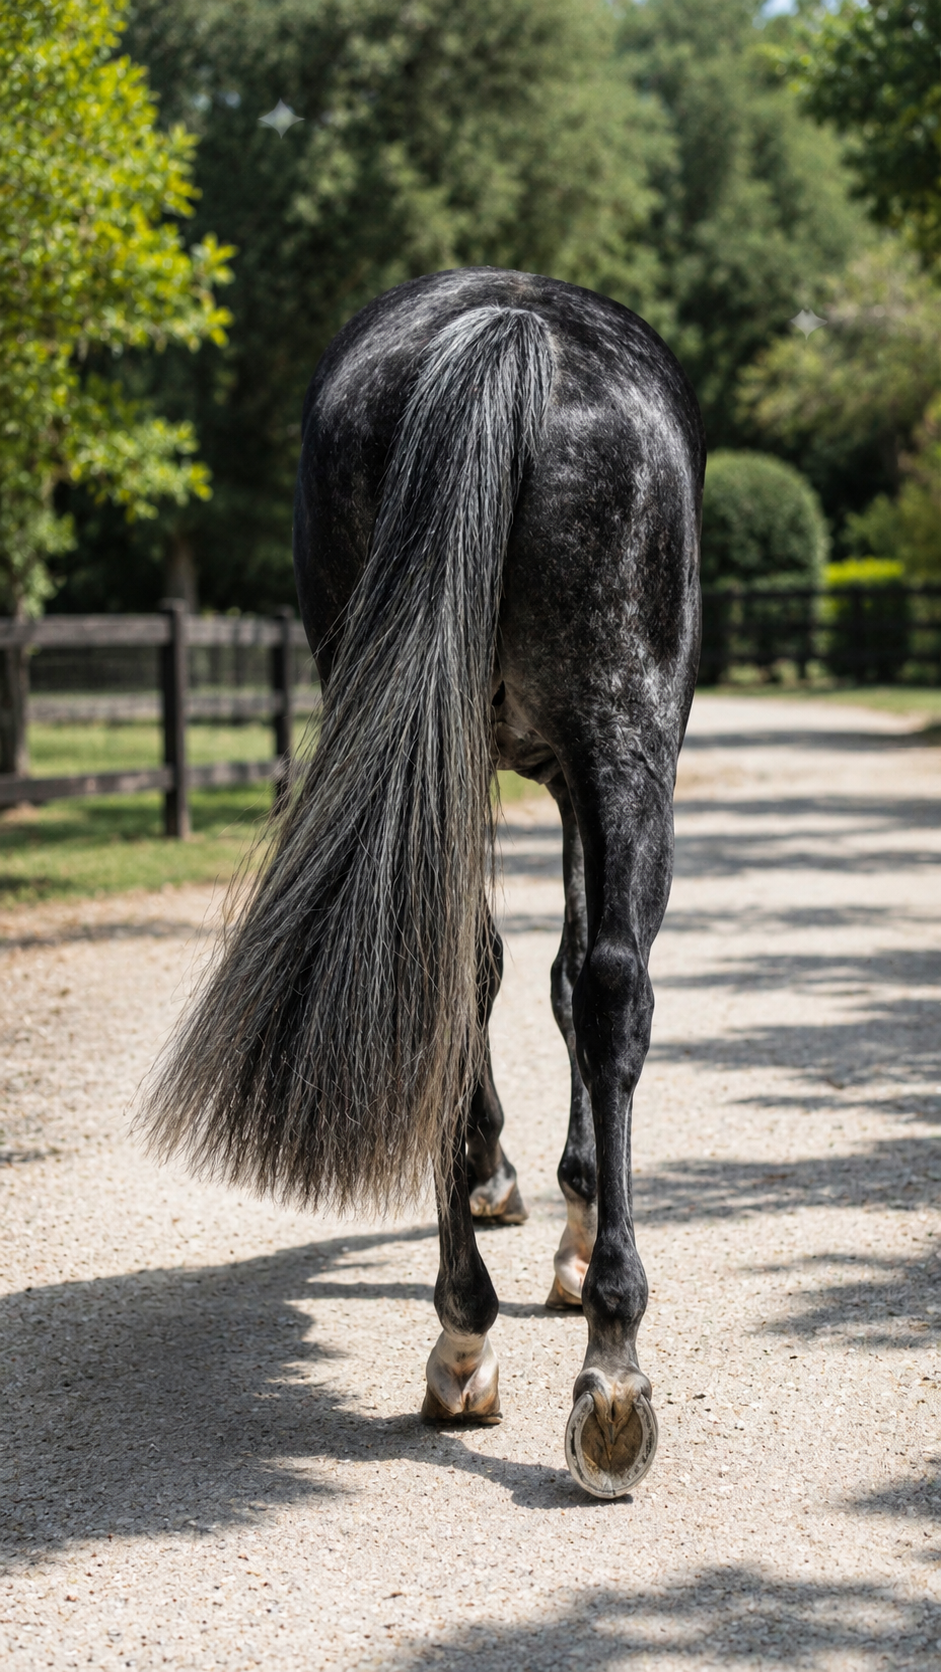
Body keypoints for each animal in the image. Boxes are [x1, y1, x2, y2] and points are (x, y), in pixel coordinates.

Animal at [142, 267, 705, 1499]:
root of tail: (508, 325)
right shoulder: (566, 772)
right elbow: (566, 975)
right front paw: (564, 1208)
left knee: (468, 970)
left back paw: (486, 1336)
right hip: (622, 737)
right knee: (607, 988)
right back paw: (589, 1361)